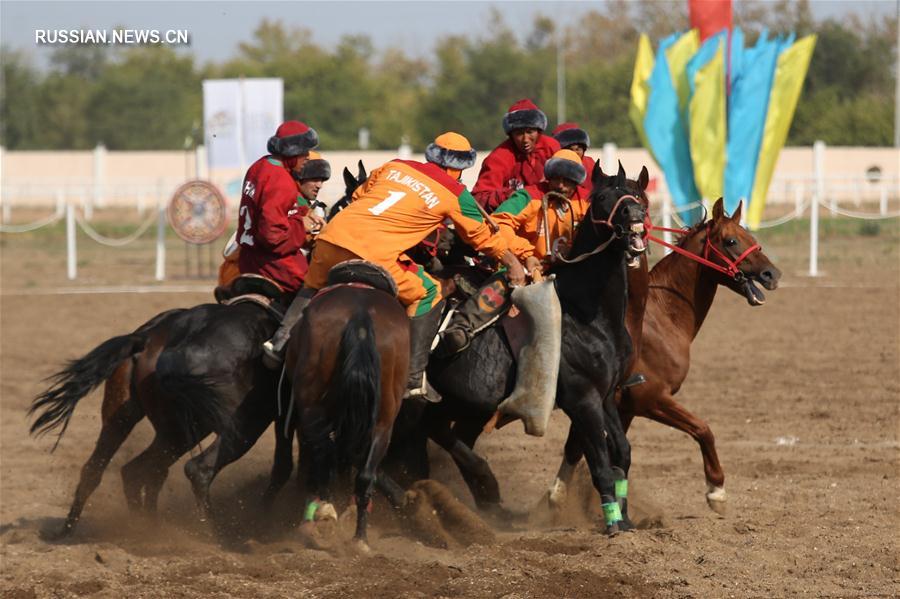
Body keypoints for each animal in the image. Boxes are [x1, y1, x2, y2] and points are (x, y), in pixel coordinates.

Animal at [284, 276, 412, 552]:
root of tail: (360, 315)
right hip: (384, 418)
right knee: (363, 473)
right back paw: (359, 538)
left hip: (311, 406)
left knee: (324, 455)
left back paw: (325, 513)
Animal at [548, 198, 780, 516]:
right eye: (731, 241)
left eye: (751, 237)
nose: (772, 274)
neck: (659, 318)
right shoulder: (652, 399)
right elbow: (703, 429)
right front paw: (716, 489)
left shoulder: (620, 407)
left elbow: (587, 448)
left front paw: (559, 499)